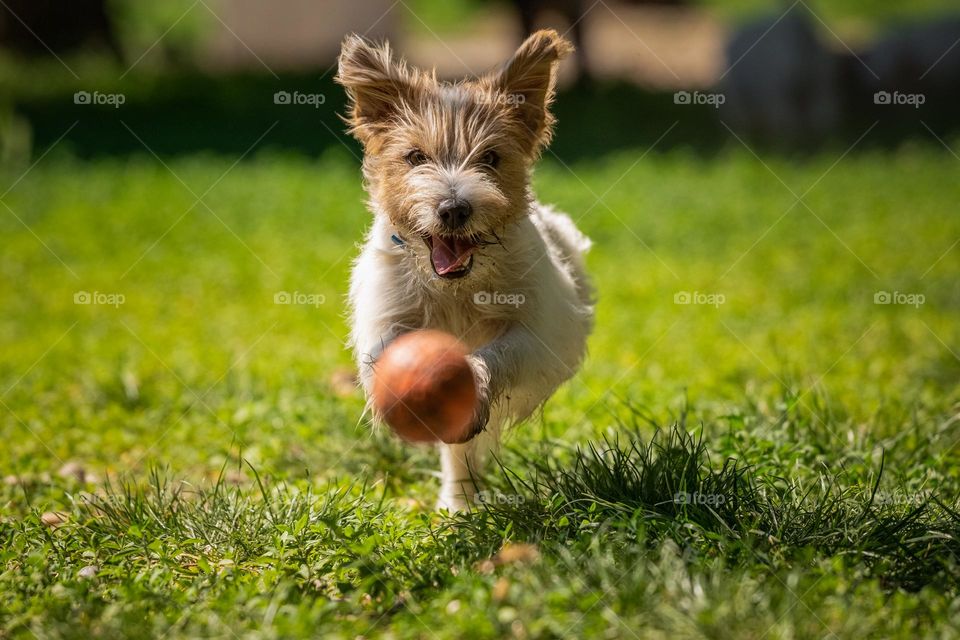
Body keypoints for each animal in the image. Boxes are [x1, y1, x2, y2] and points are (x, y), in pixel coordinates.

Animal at [338, 28, 592, 510]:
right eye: (416, 157)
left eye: (490, 158)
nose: (454, 209)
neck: (456, 289)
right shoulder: (386, 317)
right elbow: (388, 353)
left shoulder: (537, 333)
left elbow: (498, 353)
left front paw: (472, 379)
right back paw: (458, 505)